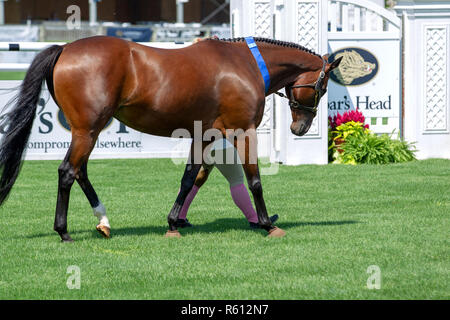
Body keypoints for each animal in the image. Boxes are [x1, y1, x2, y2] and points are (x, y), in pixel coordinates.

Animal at [0, 35, 340, 241]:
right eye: (322, 87)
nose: (300, 128)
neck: (246, 64)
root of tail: (65, 48)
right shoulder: (244, 131)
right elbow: (254, 179)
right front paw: (269, 223)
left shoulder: (204, 134)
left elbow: (190, 178)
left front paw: (174, 222)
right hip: (87, 131)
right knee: (68, 172)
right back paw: (64, 231)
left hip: (88, 131)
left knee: (79, 172)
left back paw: (103, 221)